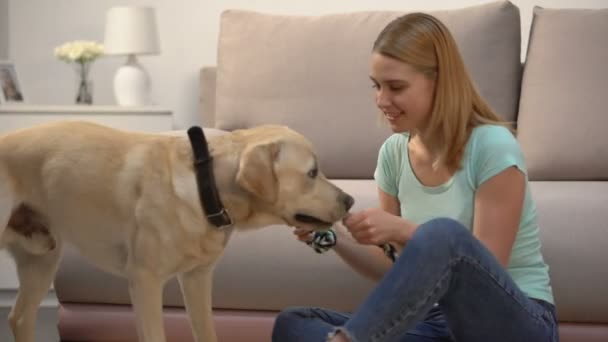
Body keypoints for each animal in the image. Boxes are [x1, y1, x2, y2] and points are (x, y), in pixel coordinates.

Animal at [0, 122, 354, 342]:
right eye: (312, 172)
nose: (350, 200)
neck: (207, 185)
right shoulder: (144, 280)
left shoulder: (197, 279)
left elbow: (207, 333)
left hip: (42, 258)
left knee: (19, 318)